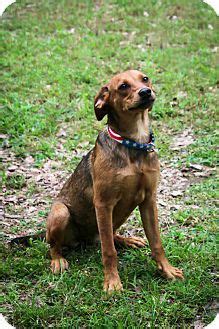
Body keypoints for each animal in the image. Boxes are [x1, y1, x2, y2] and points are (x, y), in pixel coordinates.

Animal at [45, 70, 183, 292]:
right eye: (123, 86)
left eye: (145, 79)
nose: (146, 92)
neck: (134, 144)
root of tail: (83, 240)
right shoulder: (103, 203)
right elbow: (109, 251)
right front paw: (112, 282)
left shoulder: (149, 200)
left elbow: (156, 242)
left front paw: (167, 270)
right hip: (61, 212)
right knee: (55, 245)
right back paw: (57, 260)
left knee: (108, 235)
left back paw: (127, 240)